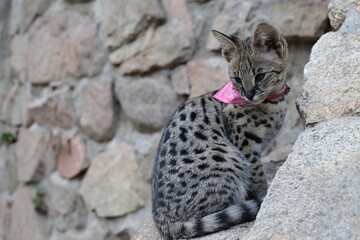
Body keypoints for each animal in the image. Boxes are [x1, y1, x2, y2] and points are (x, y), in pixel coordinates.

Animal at [150, 23, 288, 240]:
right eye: (237, 79)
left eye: (260, 76)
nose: (248, 94)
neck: (273, 102)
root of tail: (163, 222)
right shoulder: (245, 142)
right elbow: (257, 174)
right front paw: (264, 194)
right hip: (226, 156)